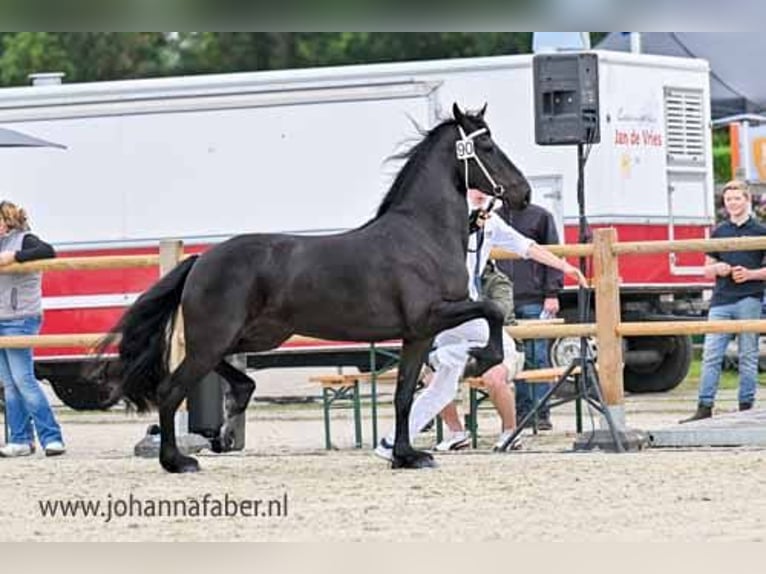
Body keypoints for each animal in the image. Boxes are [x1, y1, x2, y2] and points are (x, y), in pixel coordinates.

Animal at [93, 106, 532, 474]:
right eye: (488, 146)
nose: (523, 193)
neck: (423, 234)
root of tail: (201, 260)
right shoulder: (432, 316)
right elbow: (492, 310)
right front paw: (478, 360)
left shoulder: (417, 335)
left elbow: (404, 395)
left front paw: (406, 456)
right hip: (215, 338)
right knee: (170, 390)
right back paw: (178, 461)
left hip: (255, 335)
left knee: (227, 375)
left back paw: (230, 418)